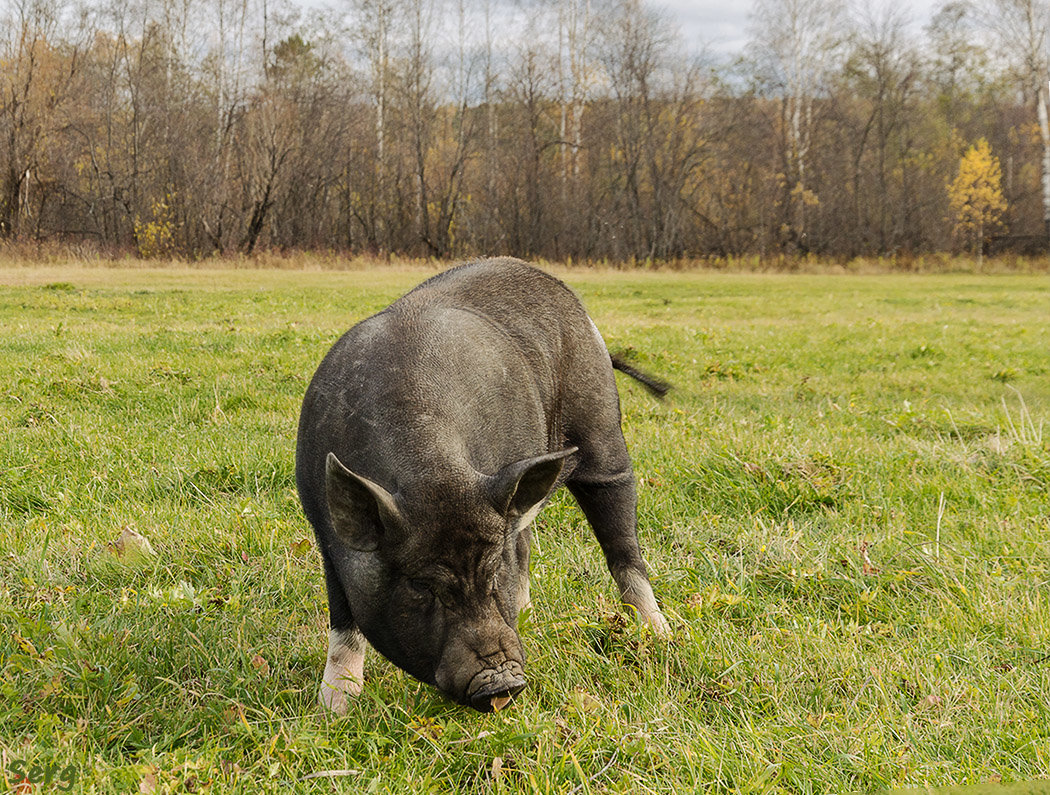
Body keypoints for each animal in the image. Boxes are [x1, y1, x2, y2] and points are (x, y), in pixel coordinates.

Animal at [296, 256, 672, 714]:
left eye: (493, 571)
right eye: (421, 585)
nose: (501, 683)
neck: (432, 471)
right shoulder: (326, 535)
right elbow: (344, 625)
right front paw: (333, 711)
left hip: (603, 435)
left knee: (623, 546)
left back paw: (661, 635)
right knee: (525, 539)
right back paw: (531, 617)